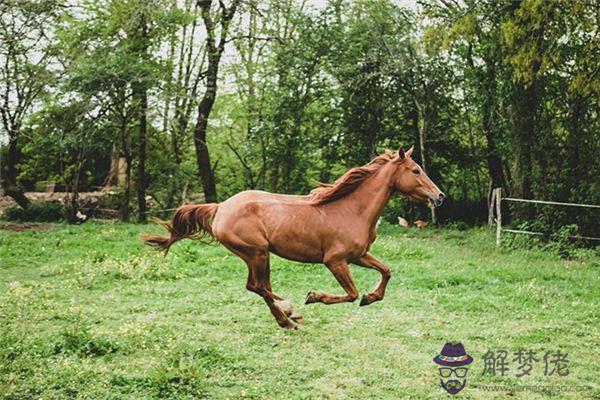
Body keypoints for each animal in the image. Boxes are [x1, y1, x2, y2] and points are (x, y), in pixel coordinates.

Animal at [144, 146, 446, 328]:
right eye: (416, 170)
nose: (439, 196)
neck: (352, 209)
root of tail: (221, 207)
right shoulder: (335, 261)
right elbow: (350, 294)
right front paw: (314, 296)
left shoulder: (359, 255)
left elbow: (386, 271)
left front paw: (371, 297)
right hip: (256, 252)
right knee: (258, 287)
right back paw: (290, 315)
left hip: (258, 256)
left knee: (259, 287)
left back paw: (287, 317)